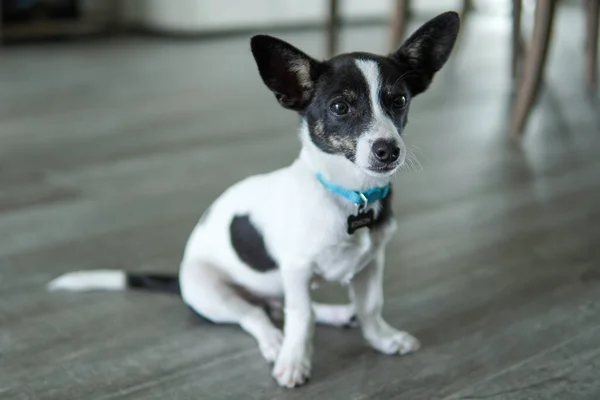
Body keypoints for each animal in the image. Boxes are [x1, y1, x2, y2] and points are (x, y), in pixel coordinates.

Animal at [48, 11, 460, 388]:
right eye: (340, 107)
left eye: (399, 101)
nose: (389, 150)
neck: (348, 192)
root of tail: (180, 278)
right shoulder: (296, 270)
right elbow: (301, 319)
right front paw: (295, 361)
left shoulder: (370, 264)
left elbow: (371, 306)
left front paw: (382, 339)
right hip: (213, 293)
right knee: (256, 316)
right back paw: (275, 342)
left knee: (282, 306)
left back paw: (337, 314)